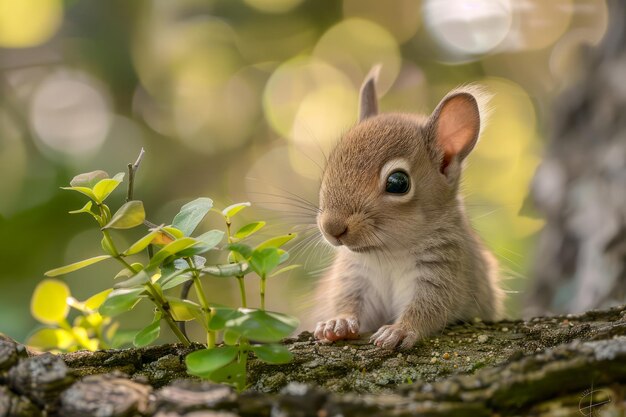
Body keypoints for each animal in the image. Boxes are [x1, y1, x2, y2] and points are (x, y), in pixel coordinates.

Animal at [312, 67, 502, 348]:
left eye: (398, 182)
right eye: (331, 164)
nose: (331, 227)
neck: (388, 252)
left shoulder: (444, 270)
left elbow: (430, 307)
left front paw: (400, 330)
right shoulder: (354, 275)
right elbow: (347, 299)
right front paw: (338, 322)